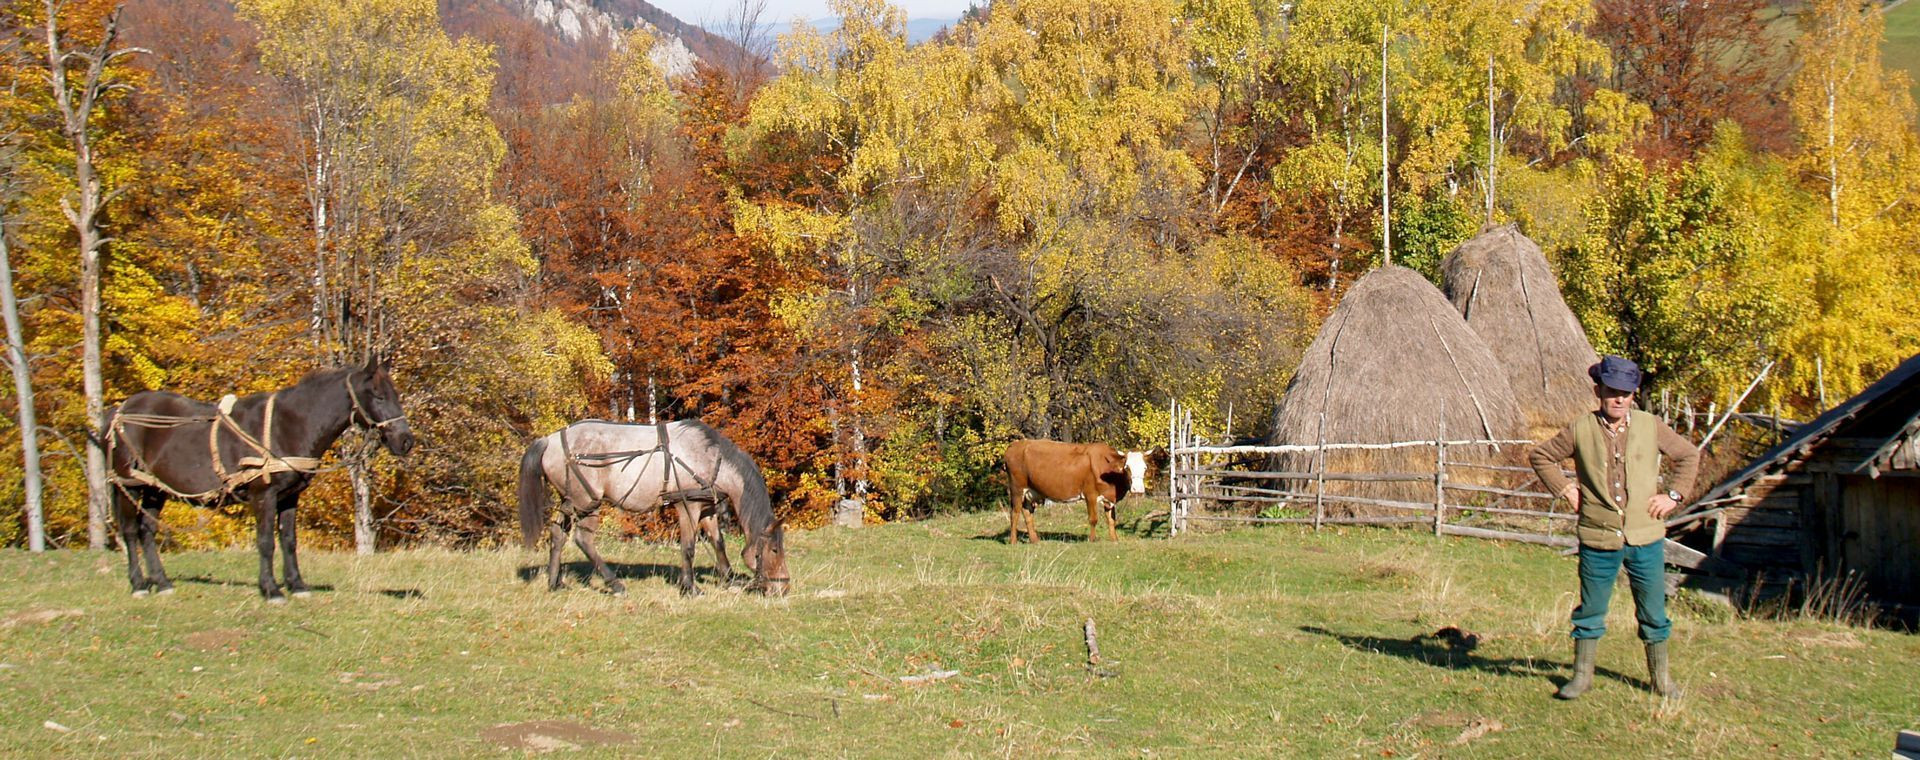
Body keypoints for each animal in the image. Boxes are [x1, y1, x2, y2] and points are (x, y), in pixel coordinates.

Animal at [102, 357, 414, 601]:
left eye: (396, 394)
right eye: (378, 396)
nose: (406, 441)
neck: (288, 425)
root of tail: (120, 410)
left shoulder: (290, 496)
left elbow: (288, 540)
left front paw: (297, 585)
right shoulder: (263, 495)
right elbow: (265, 541)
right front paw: (271, 589)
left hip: (156, 489)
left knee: (147, 531)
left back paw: (162, 582)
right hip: (129, 485)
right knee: (130, 531)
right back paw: (139, 584)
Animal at [516, 419, 788, 597]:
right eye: (774, 550)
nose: (783, 587)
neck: (710, 457)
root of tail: (549, 440)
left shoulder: (707, 508)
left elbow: (718, 543)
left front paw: (729, 579)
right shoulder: (687, 506)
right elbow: (689, 547)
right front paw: (690, 587)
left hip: (570, 500)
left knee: (557, 533)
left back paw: (555, 583)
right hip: (588, 502)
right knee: (583, 539)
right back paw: (615, 584)